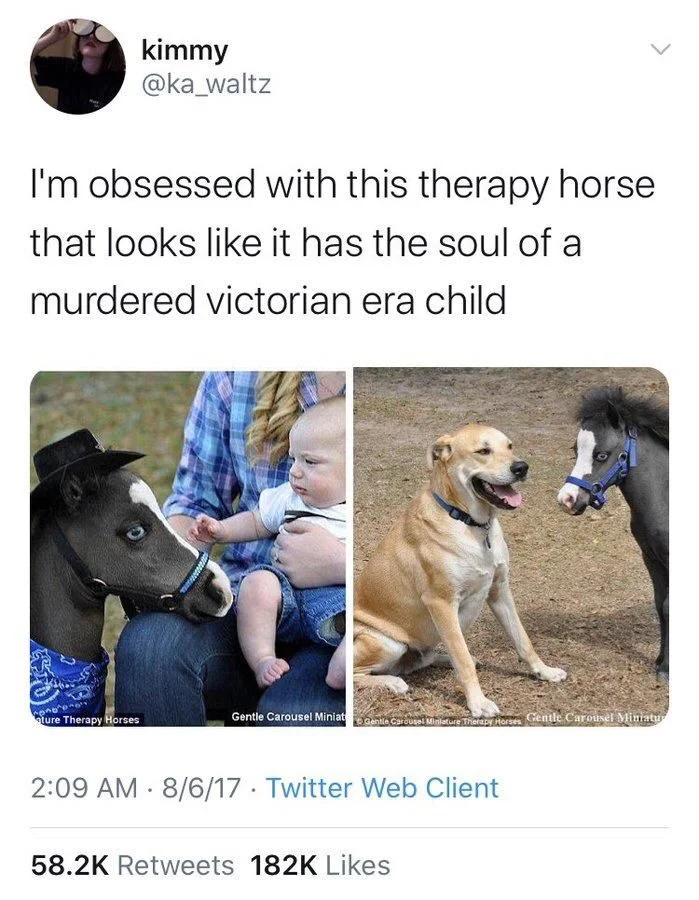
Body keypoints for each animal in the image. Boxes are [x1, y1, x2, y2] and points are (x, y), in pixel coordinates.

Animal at [557, 386, 669, 680]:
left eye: (602, 455)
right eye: (575, 450)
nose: (566, 499)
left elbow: (668, 605)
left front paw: (667, 669)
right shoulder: (651, 558)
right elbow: (660, 605)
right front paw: (660, 662)